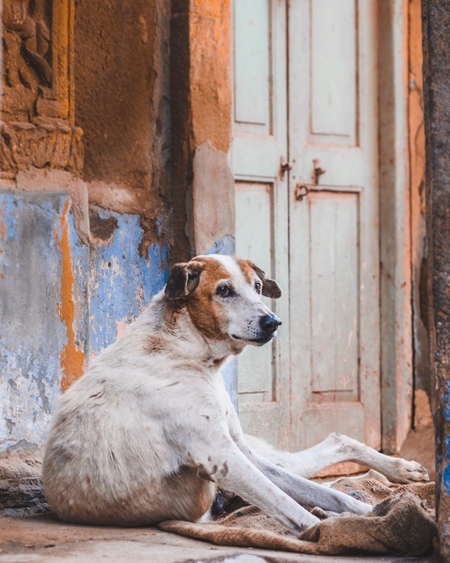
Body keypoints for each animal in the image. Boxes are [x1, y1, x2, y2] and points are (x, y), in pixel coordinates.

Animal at [42, 253, 428, 536]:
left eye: (257, 286)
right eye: (224, 291)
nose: (272, 321)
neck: (187, 350)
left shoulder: (240, 454)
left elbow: (330, 494)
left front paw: (375, 512)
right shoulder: (223, 459)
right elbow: (291, 505)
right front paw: (330, 528)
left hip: (259, 457)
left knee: (334, 444)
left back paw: (402, 472)